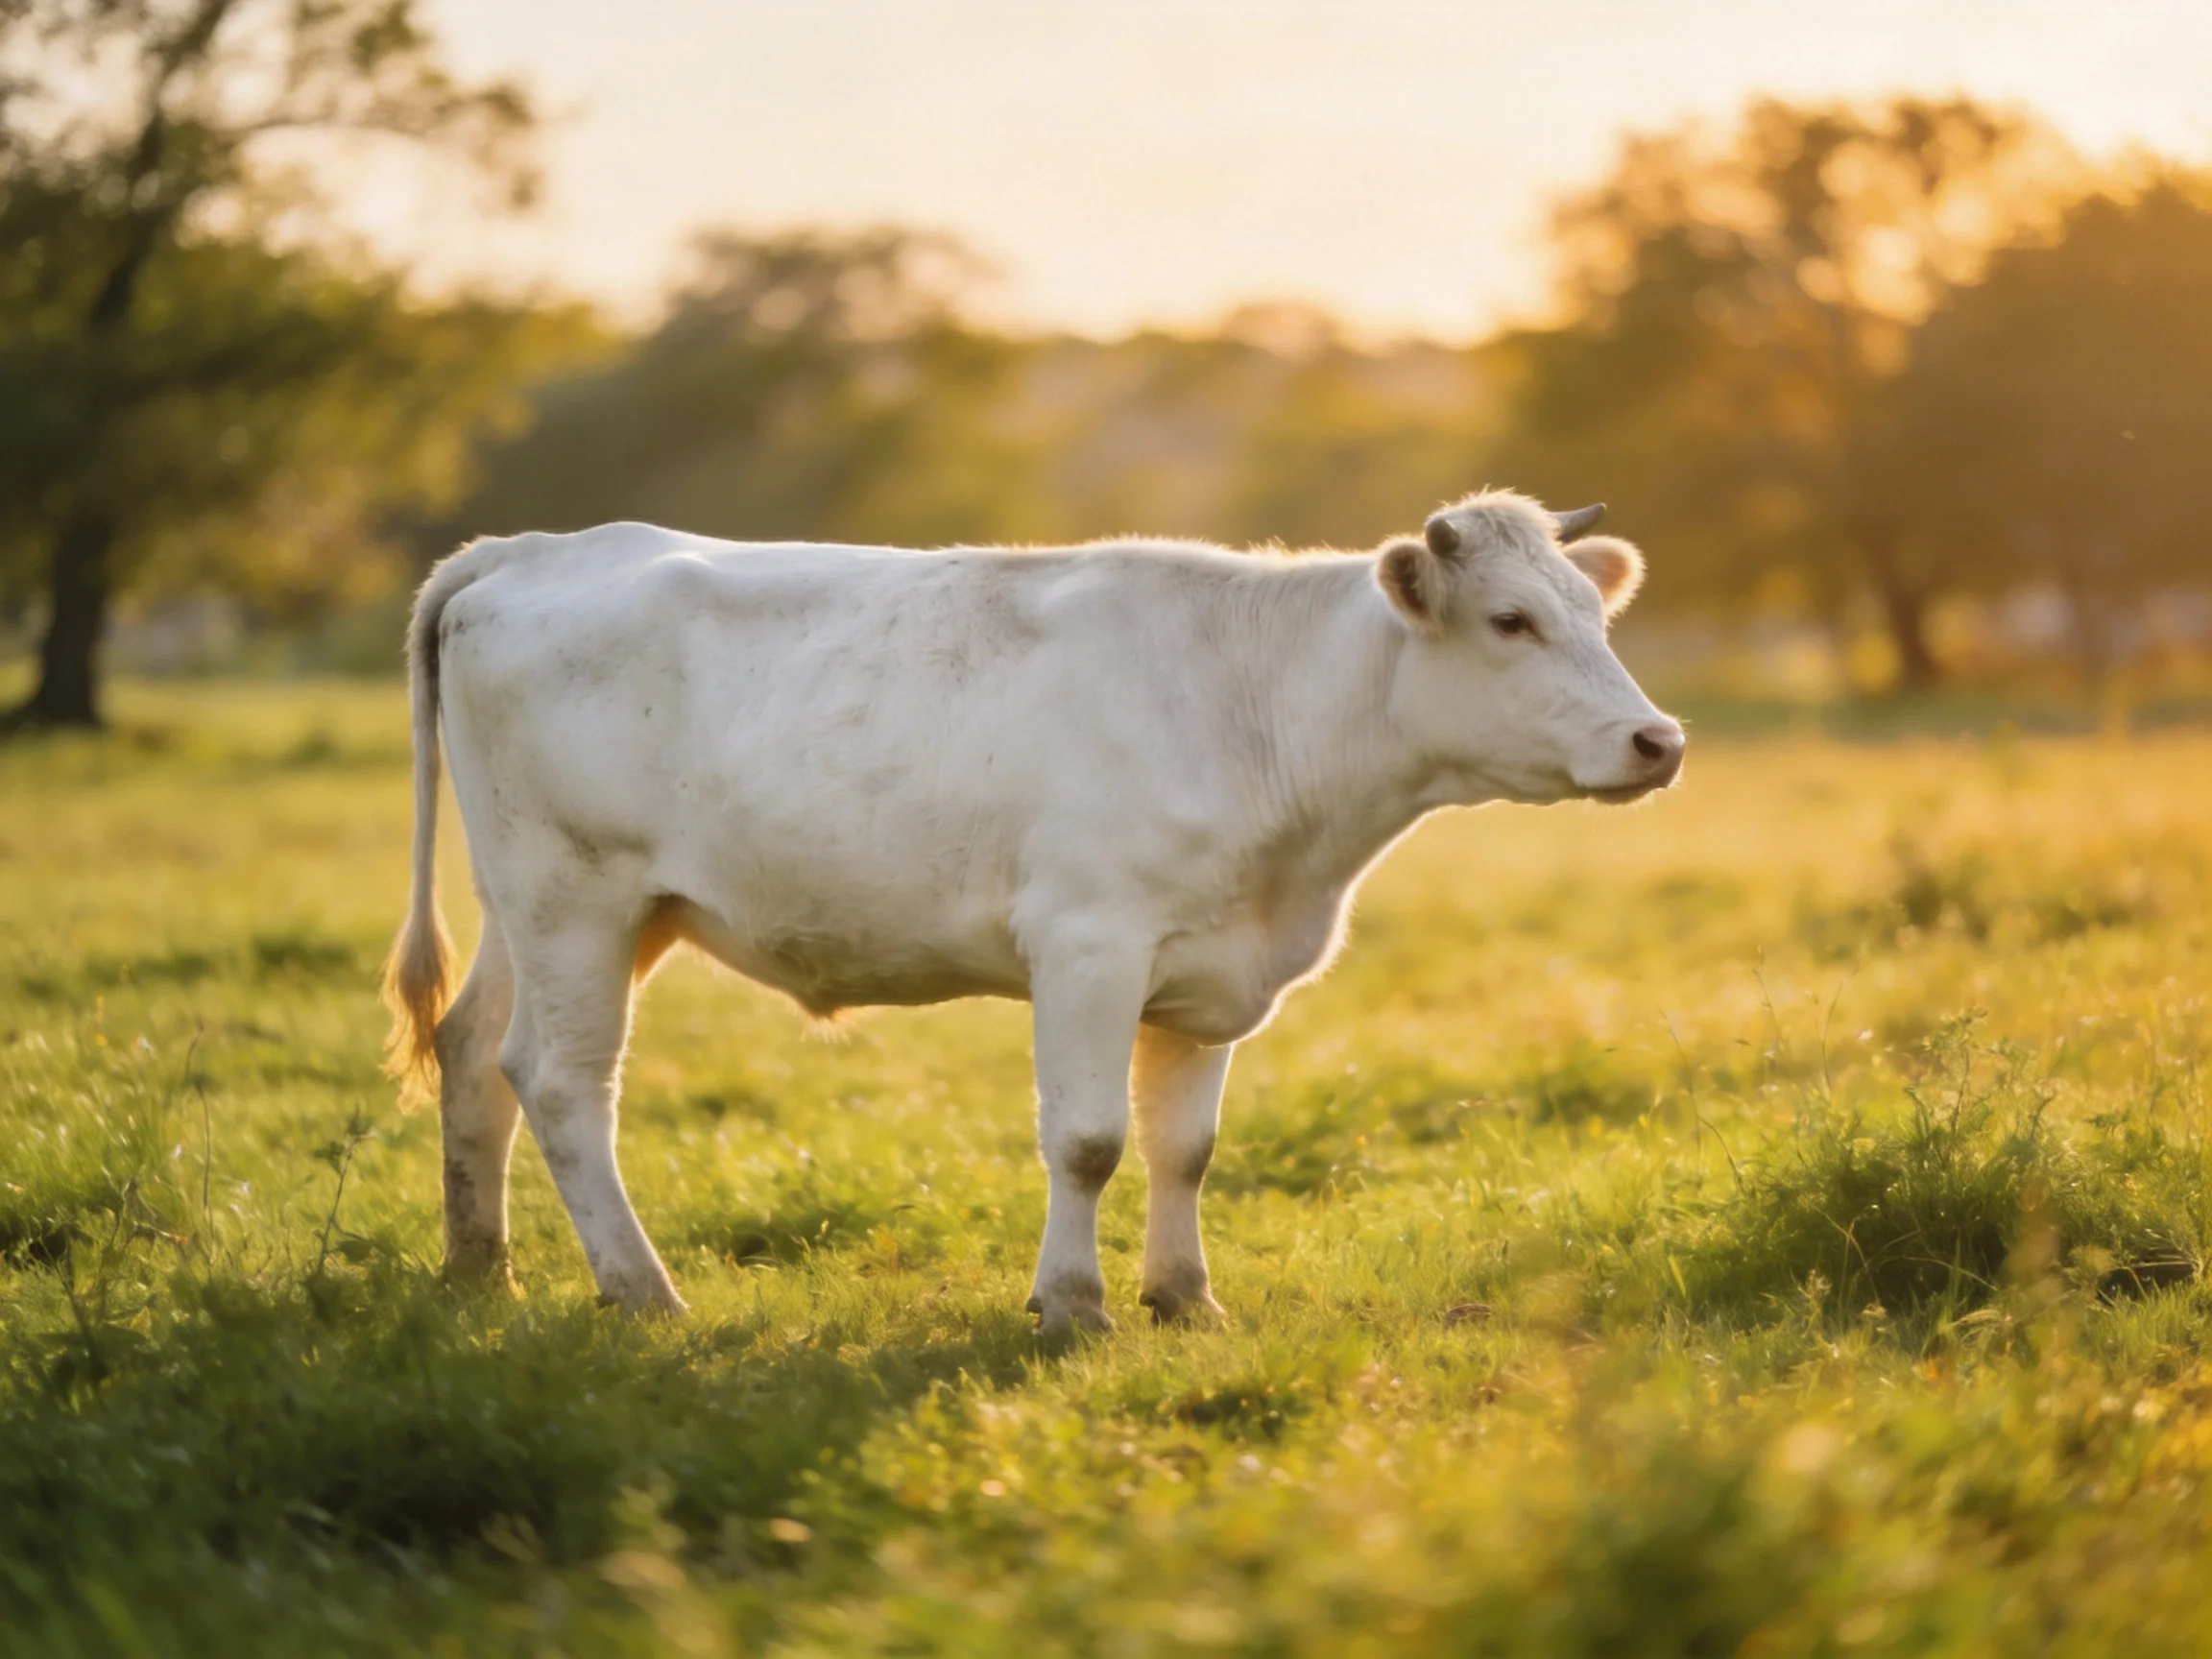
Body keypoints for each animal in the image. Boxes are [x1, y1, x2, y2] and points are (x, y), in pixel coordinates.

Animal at [383, 490, 1683, 1331]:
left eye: (1597, 615)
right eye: (1511, 620)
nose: (1657, 739)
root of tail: (528, 548)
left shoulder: (1209, 971)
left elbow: (1186, 1147)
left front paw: (1186, 1298)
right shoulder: (1088, 947)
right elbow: (1091, 1139)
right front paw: (1072, 1304)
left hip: (551, 906)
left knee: (474, 1051)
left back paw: (479, 1270)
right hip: (577, 896)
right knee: (561, 1083)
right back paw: (644, 1292)